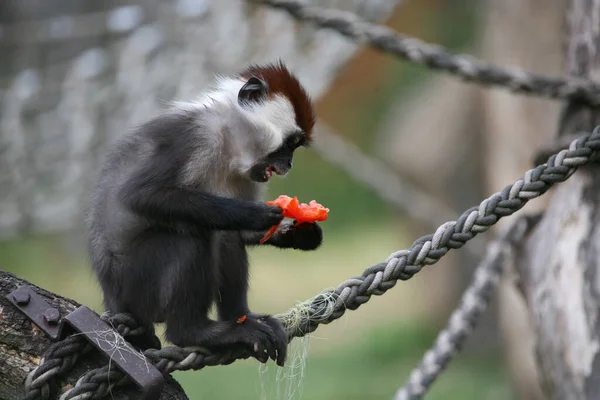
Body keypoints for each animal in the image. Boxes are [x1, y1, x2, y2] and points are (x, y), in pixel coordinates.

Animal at [85, 61, 324, 366]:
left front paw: (303, 233)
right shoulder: (197, 136)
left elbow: (244, 234)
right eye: (289, 144)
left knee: (224, 237)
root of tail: (114, 301)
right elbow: (140, 195)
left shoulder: (249, 172)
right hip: (137, 286)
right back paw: (194, 332)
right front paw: (252, 213)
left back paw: (240, 319)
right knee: (191, 236)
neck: (228, 140)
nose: (289, 164)